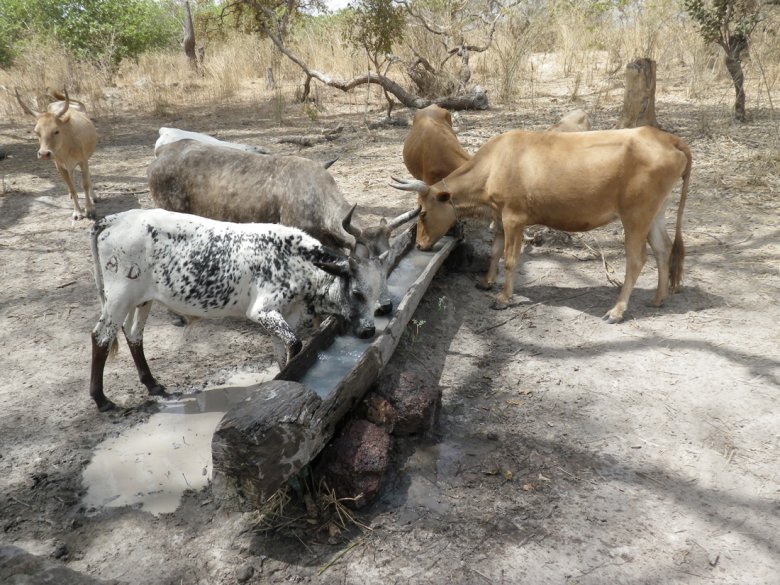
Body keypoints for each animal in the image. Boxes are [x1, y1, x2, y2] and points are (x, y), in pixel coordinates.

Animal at [15, 89, 97, 219]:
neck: (66, 147)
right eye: (36, 132)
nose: (44, 154)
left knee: (88, 178)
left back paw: (93, 196)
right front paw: (77, 212)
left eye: (56, 131)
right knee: (71, 178)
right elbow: (72, 188)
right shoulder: (60, 167)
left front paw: (89, 209)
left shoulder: (83, 161)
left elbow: (85, 184)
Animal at [88, 209, 386, 410]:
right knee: (101, 337)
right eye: (357, 293)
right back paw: (102, 400)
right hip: (118, 297)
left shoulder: (281, 317)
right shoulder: (263, 311)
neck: (297, 263)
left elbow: (283, 351)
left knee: (133, 335)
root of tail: (115, 218)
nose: (369, 331)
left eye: (377, 292)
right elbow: (295, 345)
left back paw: (153, 385)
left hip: (141, 300)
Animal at [394, 125, 692, 322]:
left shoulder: (514, 218)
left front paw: (503, 299)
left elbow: (510, 259)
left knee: (637, 258)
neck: (494, 165)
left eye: (422, 213)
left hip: (635, 215)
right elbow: (494, 251)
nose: (419, 245)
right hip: (655, 212)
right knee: (663, 249)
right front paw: (486, 282)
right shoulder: (500, 217)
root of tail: (666, 137)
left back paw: (617, 310)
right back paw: (658, 299)